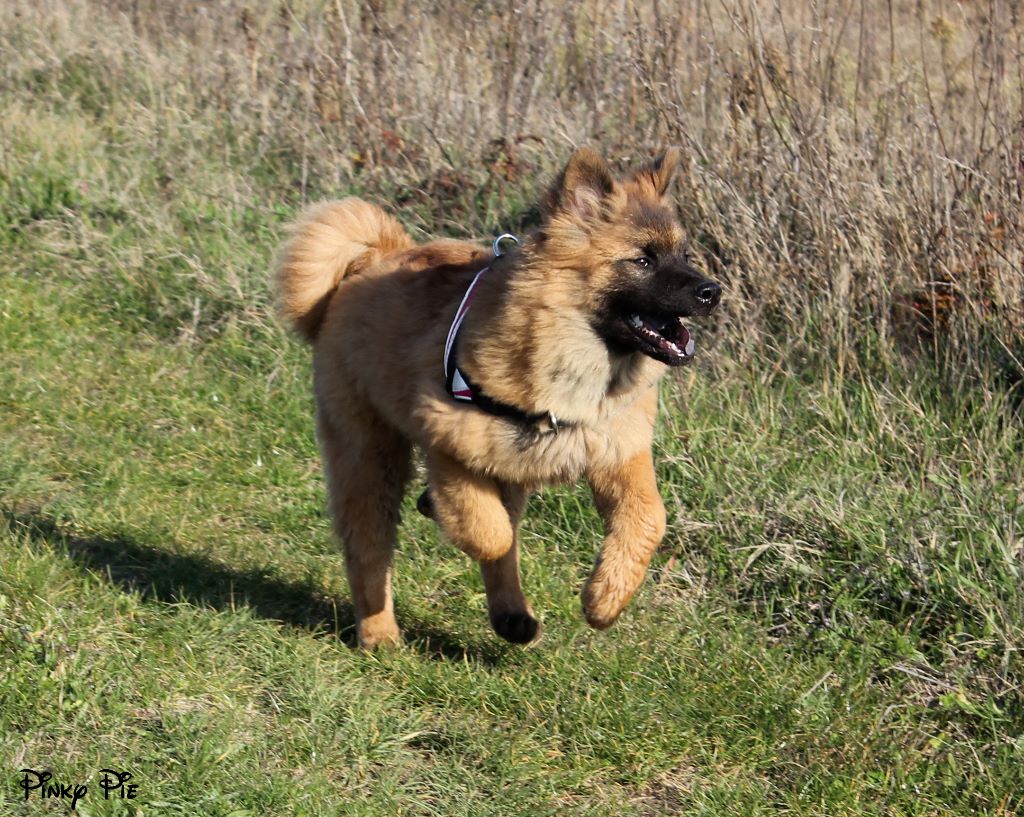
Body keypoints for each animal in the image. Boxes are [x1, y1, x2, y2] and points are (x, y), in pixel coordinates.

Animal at [272, 145, 720, 647]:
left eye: (684, 254)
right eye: (642, 260)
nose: (713, 291)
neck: (572, 360)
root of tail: (377, 257)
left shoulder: (616, 452)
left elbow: (647, 519)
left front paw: (606, 598)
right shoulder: (450, 440)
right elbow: (489, 532)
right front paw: (445, 512)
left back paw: (512, 616)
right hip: (368, 453)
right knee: (368, 547)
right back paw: (380, 633)